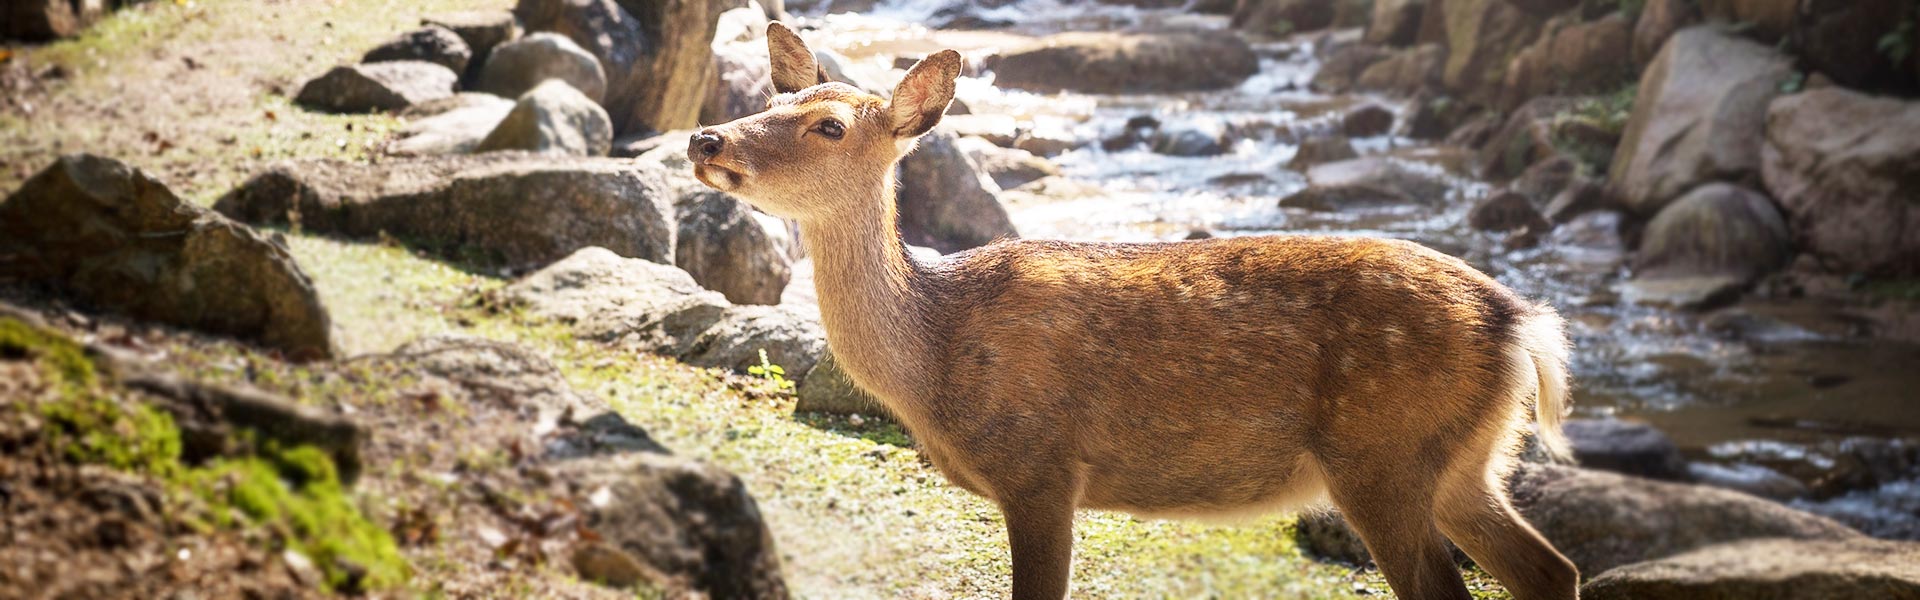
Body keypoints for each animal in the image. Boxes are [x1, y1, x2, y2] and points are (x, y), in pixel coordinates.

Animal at [683, 23, 1582, 600]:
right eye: (772, 100)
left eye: (830, 126)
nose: (704, 139)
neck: (936, 359)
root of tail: (1522, 324)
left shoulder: (1042, 467)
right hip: (1462, 461)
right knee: (1553, 569)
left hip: (1381, 451)